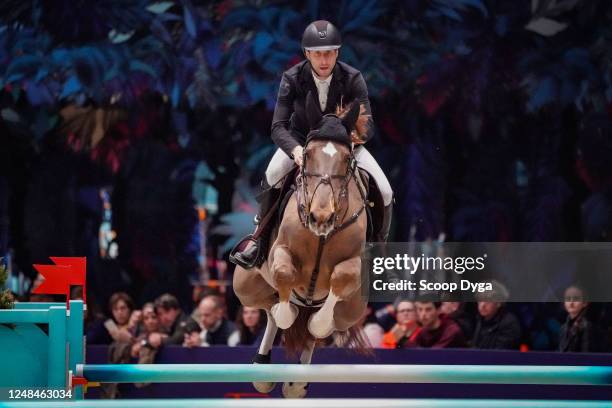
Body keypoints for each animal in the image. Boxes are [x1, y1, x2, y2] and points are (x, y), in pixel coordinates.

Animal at [233, 92, 368, 398]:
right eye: (307, 155)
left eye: (346, 159)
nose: (321, 217)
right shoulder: (279, 253)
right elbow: (284, 278)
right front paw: (286, 313)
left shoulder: (352, 265)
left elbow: (333, 294)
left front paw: (316, 323)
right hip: (245, 287)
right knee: (269, 307)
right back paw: (263, 366)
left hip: (351, 312)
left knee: (319, 326)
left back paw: (296, 383)